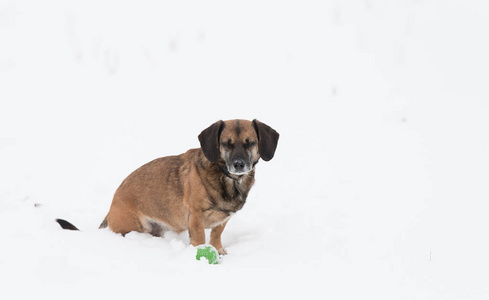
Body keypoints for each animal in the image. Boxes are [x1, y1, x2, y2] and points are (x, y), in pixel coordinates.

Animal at [57, 118, 278, 254]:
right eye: (226, 143)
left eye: (250, 143)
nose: (239, 164)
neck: (228, 179)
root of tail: (110, 209)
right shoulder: (195, 216)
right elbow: (200, 238)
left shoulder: (223, 219)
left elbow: (216, 235)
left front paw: (219, 251)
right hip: (135, 228)